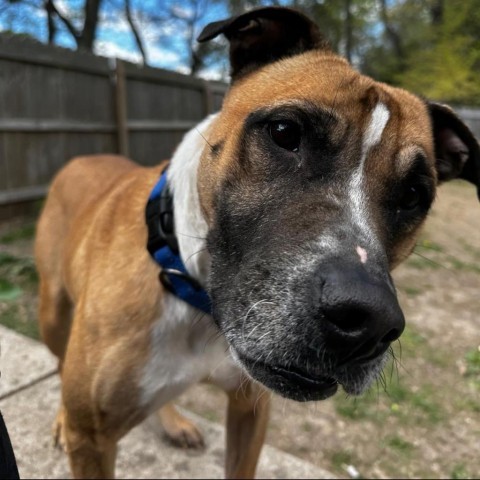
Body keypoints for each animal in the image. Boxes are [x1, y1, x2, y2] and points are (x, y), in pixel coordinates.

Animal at [33, 7, 480, 480]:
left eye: (414, 195)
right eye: (284, 132)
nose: (369, 322)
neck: (198, 302)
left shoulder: (250, 409)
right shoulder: (92, 438)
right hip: (52, 313)